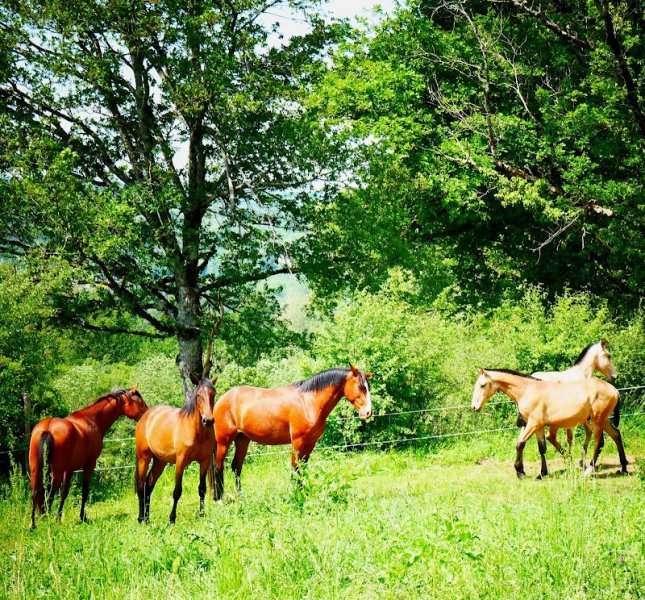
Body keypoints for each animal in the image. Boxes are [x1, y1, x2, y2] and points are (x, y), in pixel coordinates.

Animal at [29, 386, 148, 529]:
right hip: (56, 472)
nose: (148, 414)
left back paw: (33, 524)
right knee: (50, 494)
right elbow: (84, 491)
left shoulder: (69, 469)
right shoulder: (89, 465)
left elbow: (64, 493)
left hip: (36, 469)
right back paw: (46, 519)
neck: (91, 420)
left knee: (35, 491)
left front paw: (59, 517)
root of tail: (47, 428)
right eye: (139, 402)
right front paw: (82, 517)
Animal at [135, 376, 217, 524]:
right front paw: (172, 519)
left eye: (213, 394)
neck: (197, 432)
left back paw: (148, 519)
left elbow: (202, 489)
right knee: (140, 486)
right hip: (143, 458)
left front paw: (202, 514)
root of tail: (146, 416)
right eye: (198, 395)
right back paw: (141, 518)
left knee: (148, 486)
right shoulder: (180, 462)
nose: (208, 420)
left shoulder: (204, 461)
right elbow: (177, 491)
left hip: (160, 462)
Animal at [212, 364, 372, 499]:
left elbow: (303, 469)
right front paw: (296, 494)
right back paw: (218, 499)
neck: (308, 402)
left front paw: (303, 492)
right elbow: (295, 469)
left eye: (367, 387)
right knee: (219, 467)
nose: (368, 412)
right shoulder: (297, 442)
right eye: (360, 387)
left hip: (242, 439)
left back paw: (240, 497)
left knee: (236, 467)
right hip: (223, 441)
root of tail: (222, 398)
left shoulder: (310, 443)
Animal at [471, 368, 627, 479]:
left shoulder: (533, 424)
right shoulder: (538, 427)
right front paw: (542, 474)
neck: (528, 390)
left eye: (482, 385)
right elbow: (542, 448)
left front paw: (520, 472)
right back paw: (624, 468)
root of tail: (615, 390)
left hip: (597, 421)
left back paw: (588, 471)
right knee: (616, 434)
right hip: (603, 420)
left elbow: (520, 443)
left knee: (599, 442)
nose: (474, 407)